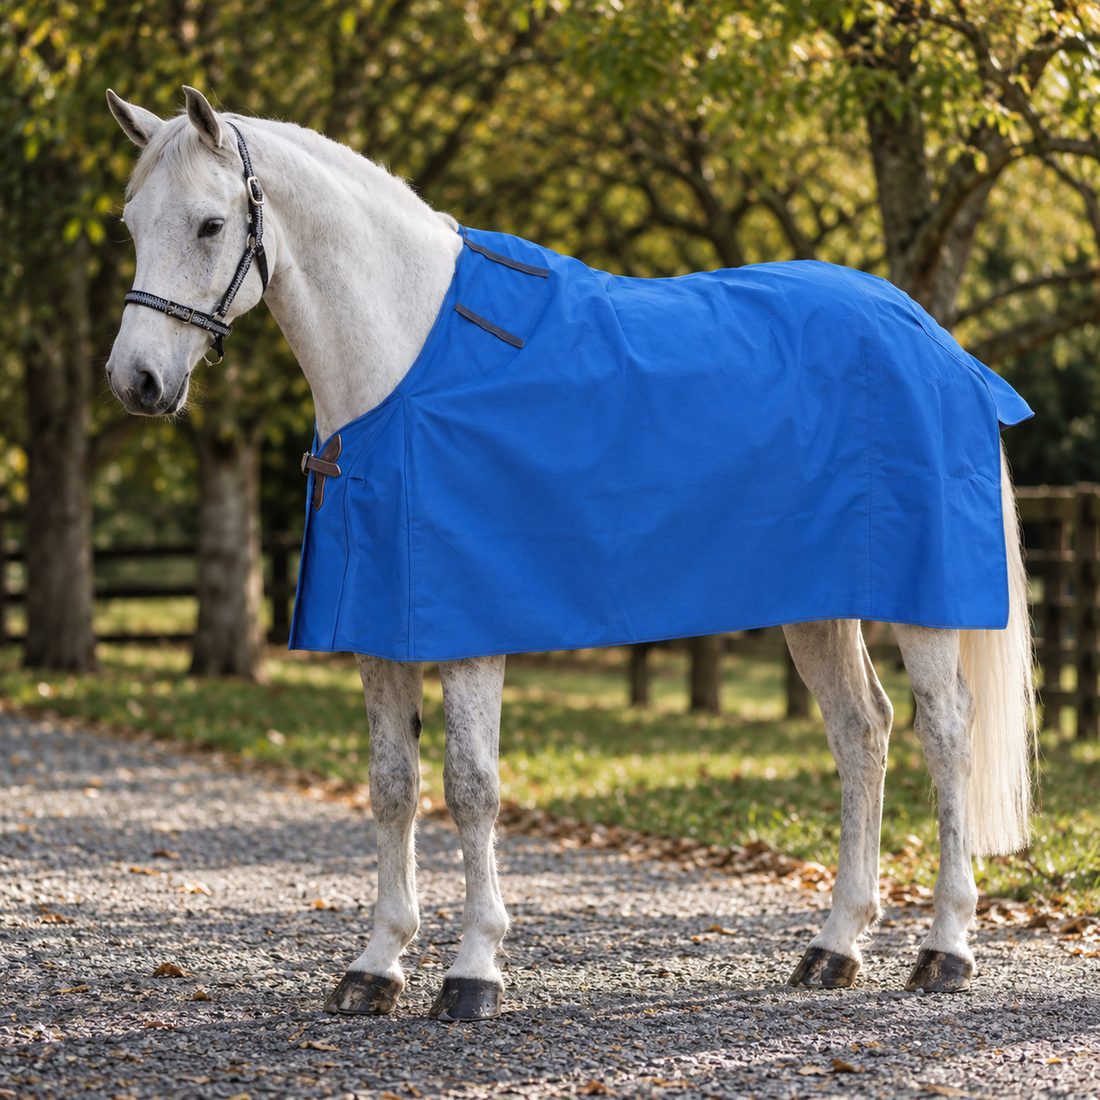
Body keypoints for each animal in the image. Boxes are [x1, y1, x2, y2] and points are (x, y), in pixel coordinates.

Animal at [104, 86, 1035, 1021]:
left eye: (211, 225)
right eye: (131, 225)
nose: (135, 383)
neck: (408, 364)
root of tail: (934, 338)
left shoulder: (468, 633)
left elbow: (470, 789)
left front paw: (473, 969)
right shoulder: (378, 633)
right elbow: (393, 787)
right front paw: (376, 966)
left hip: (925, 607)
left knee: (945, 734)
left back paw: (945, 948)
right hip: (818, 608)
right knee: (861, 731)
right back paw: (835, 946)